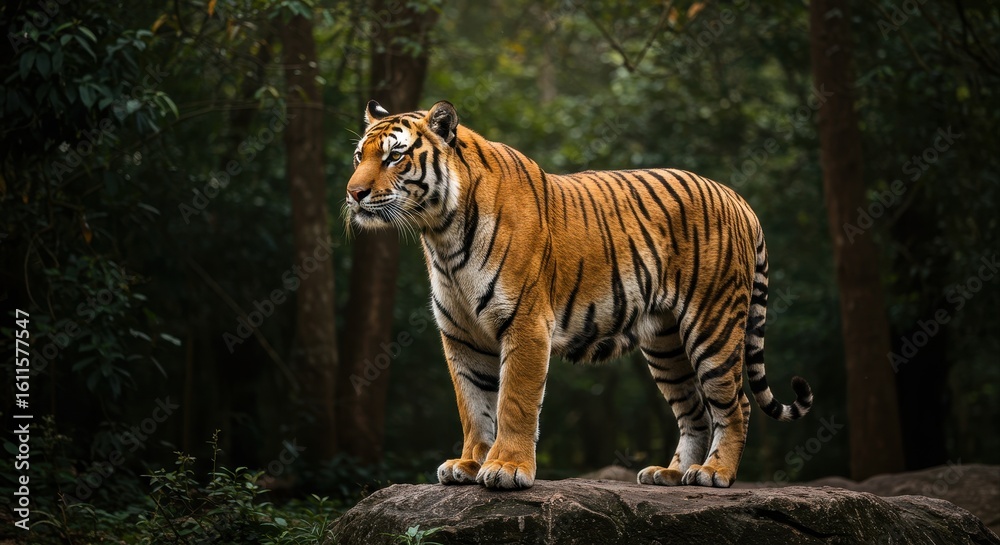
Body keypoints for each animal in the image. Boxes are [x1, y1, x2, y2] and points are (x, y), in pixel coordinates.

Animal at [345, 99, 813, 489]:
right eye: (359, 157)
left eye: (394, 156)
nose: (353, 193)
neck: (441, 233)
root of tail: (737, 198)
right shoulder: (461, 335)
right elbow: (474, 406)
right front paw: (469, 464)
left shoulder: (526, 323)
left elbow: (514, 402)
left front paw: (506, 468)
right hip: (666, 344)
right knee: (695, 410)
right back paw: (671, 473)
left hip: (712, 325)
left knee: (736, 405)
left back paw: (714, 473)